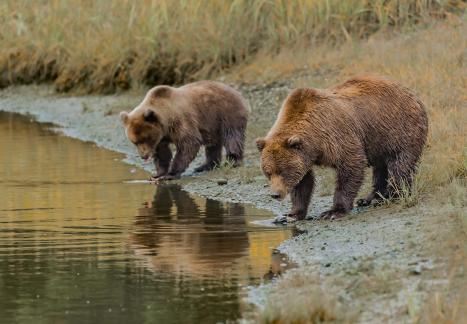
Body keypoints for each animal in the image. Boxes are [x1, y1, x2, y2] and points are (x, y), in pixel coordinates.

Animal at [119, 81, 249, 180]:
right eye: (135, 142)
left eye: (146, 139)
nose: (144, 156)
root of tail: (237, 92)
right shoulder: (162, 137)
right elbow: (162, 153)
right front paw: (158, 174)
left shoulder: (180, 122)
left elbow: (189, 143)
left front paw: (171, 174)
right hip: (213, 124)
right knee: (213, 145)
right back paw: (205, 166)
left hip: (226, 113)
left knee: (232, 137)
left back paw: (233, 161)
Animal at [258, 74, 430, 220]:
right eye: (268, 172)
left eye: (283, 171)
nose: (275, 194)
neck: (314, 144)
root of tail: (411, 93)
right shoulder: (304, 154)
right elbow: (303, 182)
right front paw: (291, 215)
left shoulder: (335, 136)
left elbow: (351, 165)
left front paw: (334, 211)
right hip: (378, 141)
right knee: (380, 168)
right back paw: (370, 198)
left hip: (398, 129)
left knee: (400, 164)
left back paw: (392, 195)